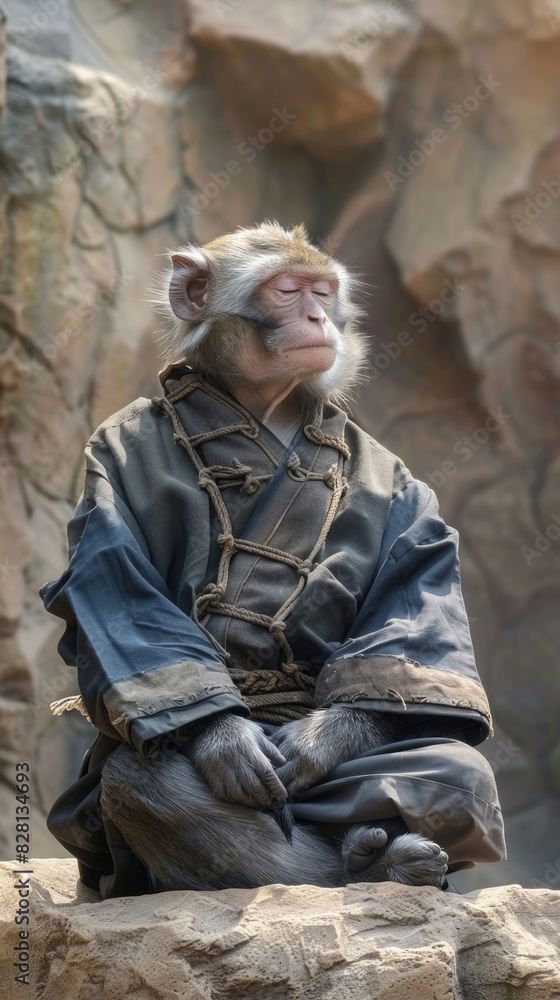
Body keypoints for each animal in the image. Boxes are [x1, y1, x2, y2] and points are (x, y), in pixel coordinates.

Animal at [43, 222, 503, 898]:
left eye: (323, 291)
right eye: (288, 291)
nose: (318, 316)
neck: (262, 406)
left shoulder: (407, 484)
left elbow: (411, 595)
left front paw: (317, 743)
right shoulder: (107, 447)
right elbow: (115, 578)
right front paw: (226, 740)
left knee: (454, 771)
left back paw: (380, 862)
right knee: (138, 779)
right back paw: (356, 869)